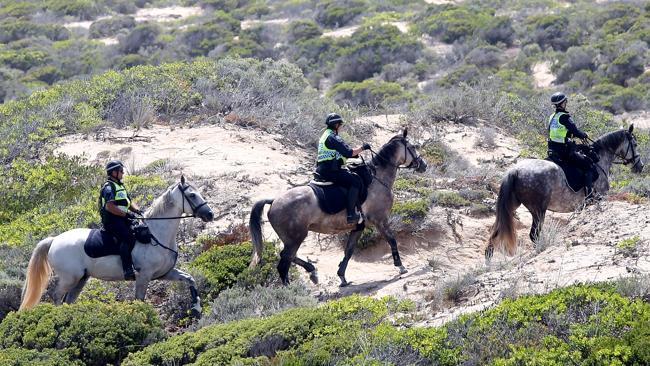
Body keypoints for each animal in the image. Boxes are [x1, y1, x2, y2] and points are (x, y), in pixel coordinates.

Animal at [19, 176, 213, 316]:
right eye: (192, 195)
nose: (210, 214)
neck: (156, 235)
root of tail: (54, 240)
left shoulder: (165, 273)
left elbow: (190, 279)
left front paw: (196, 308)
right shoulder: (144, 276)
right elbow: (139, 300)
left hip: (81, 278)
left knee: (69, 299)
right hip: (70, 277)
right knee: (57, 296)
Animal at [248, 130, 426, 288]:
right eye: (412, 147)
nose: (424, 165)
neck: (377, 179)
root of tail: (274, 201)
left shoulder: (358, 227)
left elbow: (349, 251)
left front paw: (342, 277)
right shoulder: (380, 220)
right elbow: (392, 240)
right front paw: (400, 266)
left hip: (291, 239)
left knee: (289, 257)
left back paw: (312, 272)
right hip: (296, 238)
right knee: (284, 263)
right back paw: (292, 291)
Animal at [484, 126, 640, 260]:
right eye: (635, 144)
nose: (640, 166)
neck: (599, 160)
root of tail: (515, 170)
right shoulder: (600, 198)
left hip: (513, 205)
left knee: (495, 233)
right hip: (538, 210)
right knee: (534, 235)